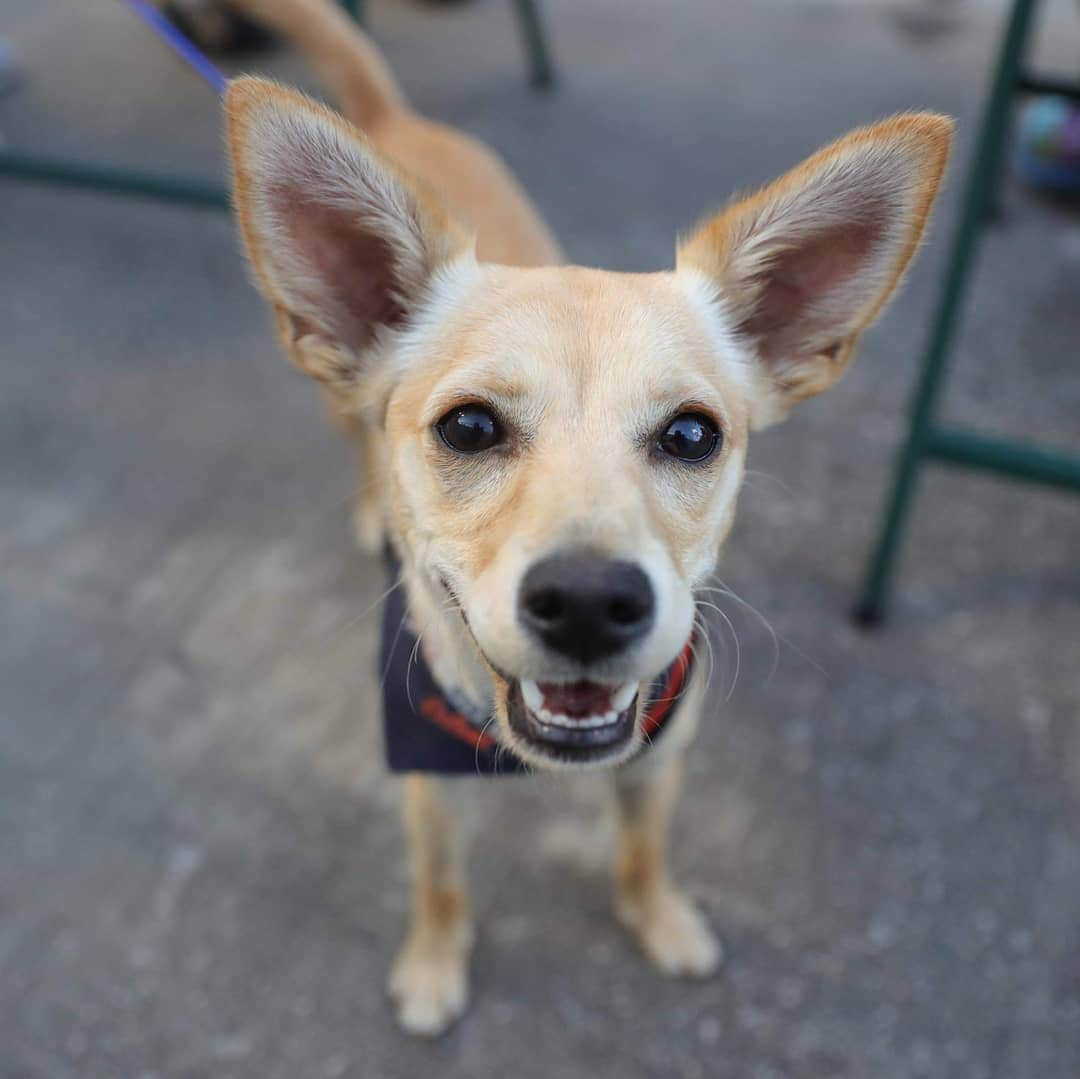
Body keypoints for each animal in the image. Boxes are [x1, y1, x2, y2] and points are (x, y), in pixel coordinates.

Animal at [223, 0, 950, 1036]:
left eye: (691, 434)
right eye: (469, 426)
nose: (588, 603)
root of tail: (394, 118)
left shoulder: (657, 761)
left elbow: (643, 850)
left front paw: (662, 919)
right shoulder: (428, 787)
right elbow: (439, 882)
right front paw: (434, 963)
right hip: (332, 398)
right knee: (357, 448)